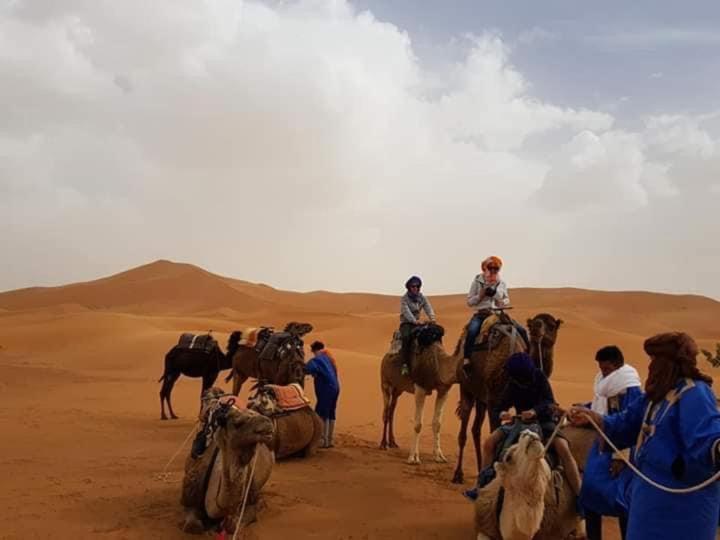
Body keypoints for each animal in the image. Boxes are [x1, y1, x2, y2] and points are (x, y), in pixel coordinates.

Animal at [180, 386, 276, 532]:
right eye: (238, 423)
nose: (268, 424)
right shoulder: (189, 497)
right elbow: (193, 526)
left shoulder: (250, 498)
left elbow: (233, 525)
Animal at [376, 322, 462, 466]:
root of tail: (385, 356)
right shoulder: (420, 388)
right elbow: (418, 425)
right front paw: (414, 458)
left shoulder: (443, 390)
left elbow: (437, 424)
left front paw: (439, 456)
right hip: (385, 383)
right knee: (386, 412)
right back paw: (383, 444)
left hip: (398, 389)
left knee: (392, 410)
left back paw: (393, 442)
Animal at [450, 312, 564, 486]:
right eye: (531, 325)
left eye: (551, 325)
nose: (537, 326)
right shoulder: (495, 401)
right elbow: (495, 434)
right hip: (466, 387)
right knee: (464, 425)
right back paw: (458, 474)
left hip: (482, 397)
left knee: (476, 428)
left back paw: (479, 468)